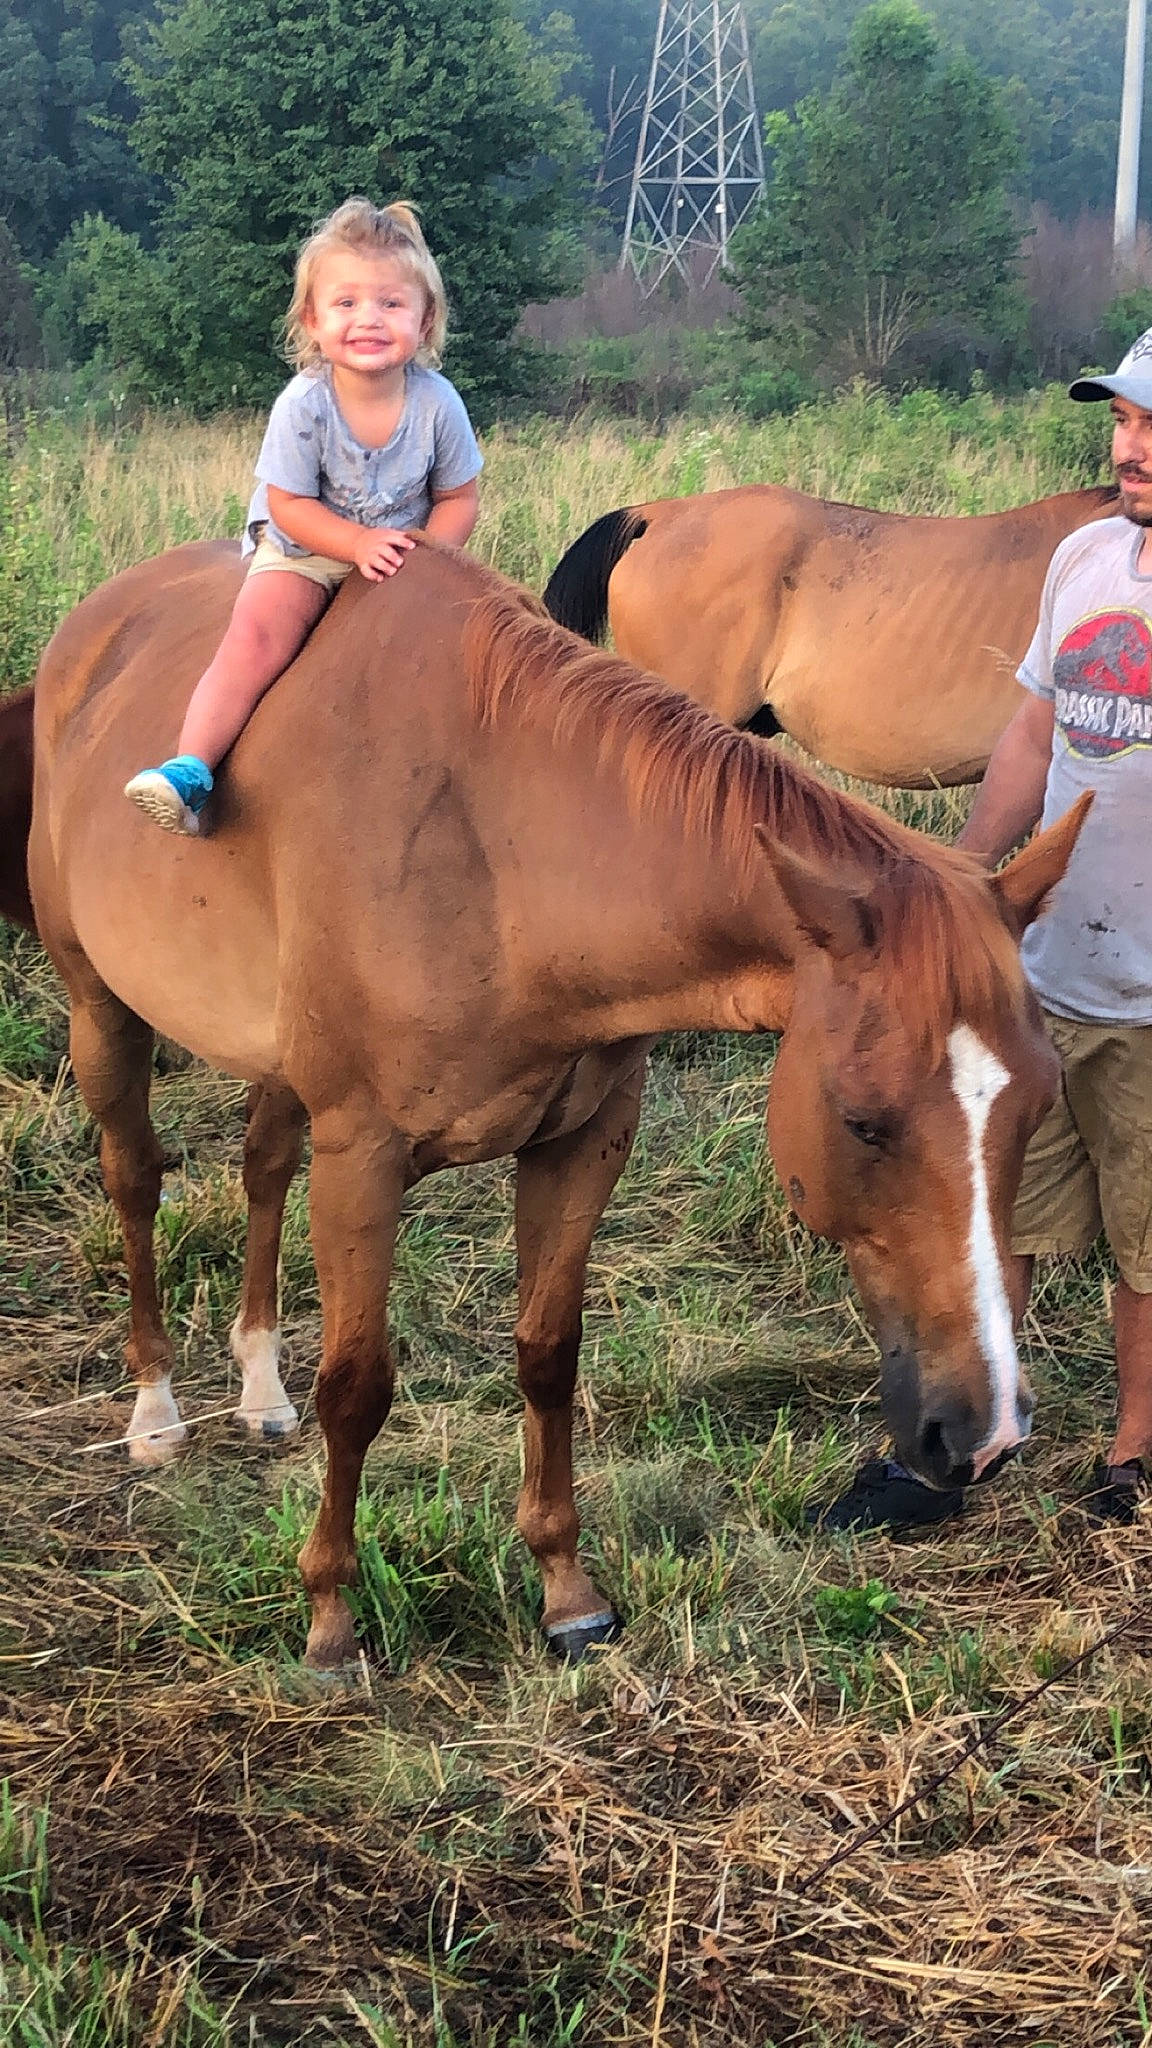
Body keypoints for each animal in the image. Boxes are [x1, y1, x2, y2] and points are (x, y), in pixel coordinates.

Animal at [28, 536, 1084, 1669]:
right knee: (135, 1181)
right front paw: (330, 1614)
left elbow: (547, 1354)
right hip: (101, 1010)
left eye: (1037, 1110)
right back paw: (155, 1410)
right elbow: (356, 1385)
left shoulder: (583, 1142)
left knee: (262, 1167)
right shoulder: (362, 1158)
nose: (984, 1434)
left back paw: (261, 1387)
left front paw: (565, 1587)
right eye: (863, 1122)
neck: (504, 855)